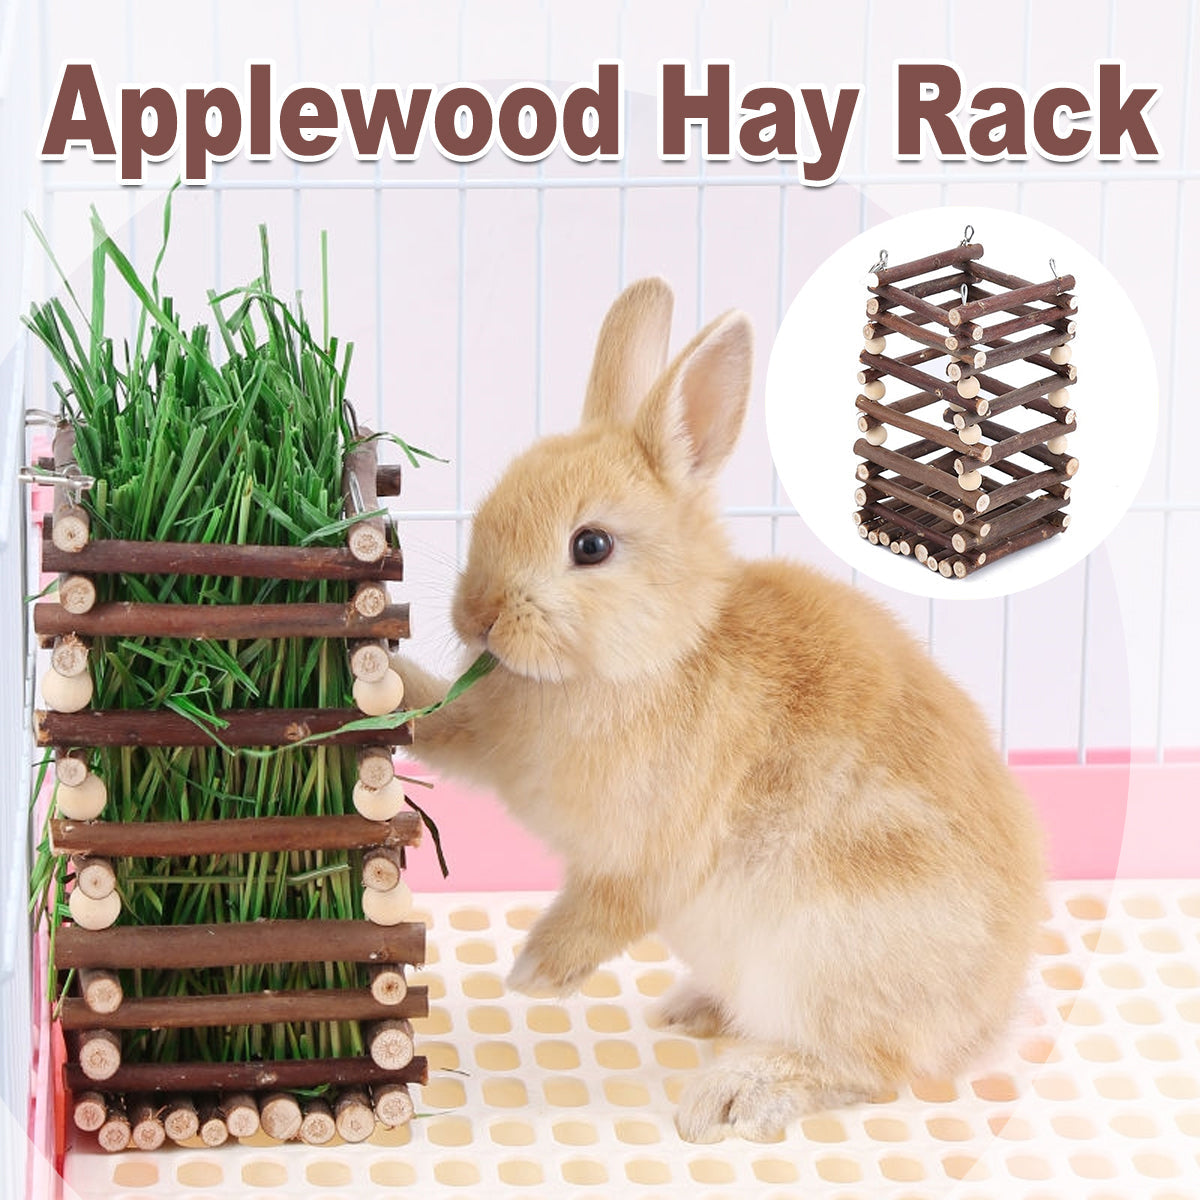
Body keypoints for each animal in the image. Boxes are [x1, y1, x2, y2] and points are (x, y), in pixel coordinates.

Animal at [394, 277, 1045, 1143]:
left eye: (591, 546)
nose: (480, 617)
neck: (658, 654)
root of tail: (982, 1024)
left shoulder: (645, 856)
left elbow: (603, 911)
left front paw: (535, 973)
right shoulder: (491, 731)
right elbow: (437, 722)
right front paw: (379, 682)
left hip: (821, 961)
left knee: (871, 1068)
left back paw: (734, 1093)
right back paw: (694, 1010)